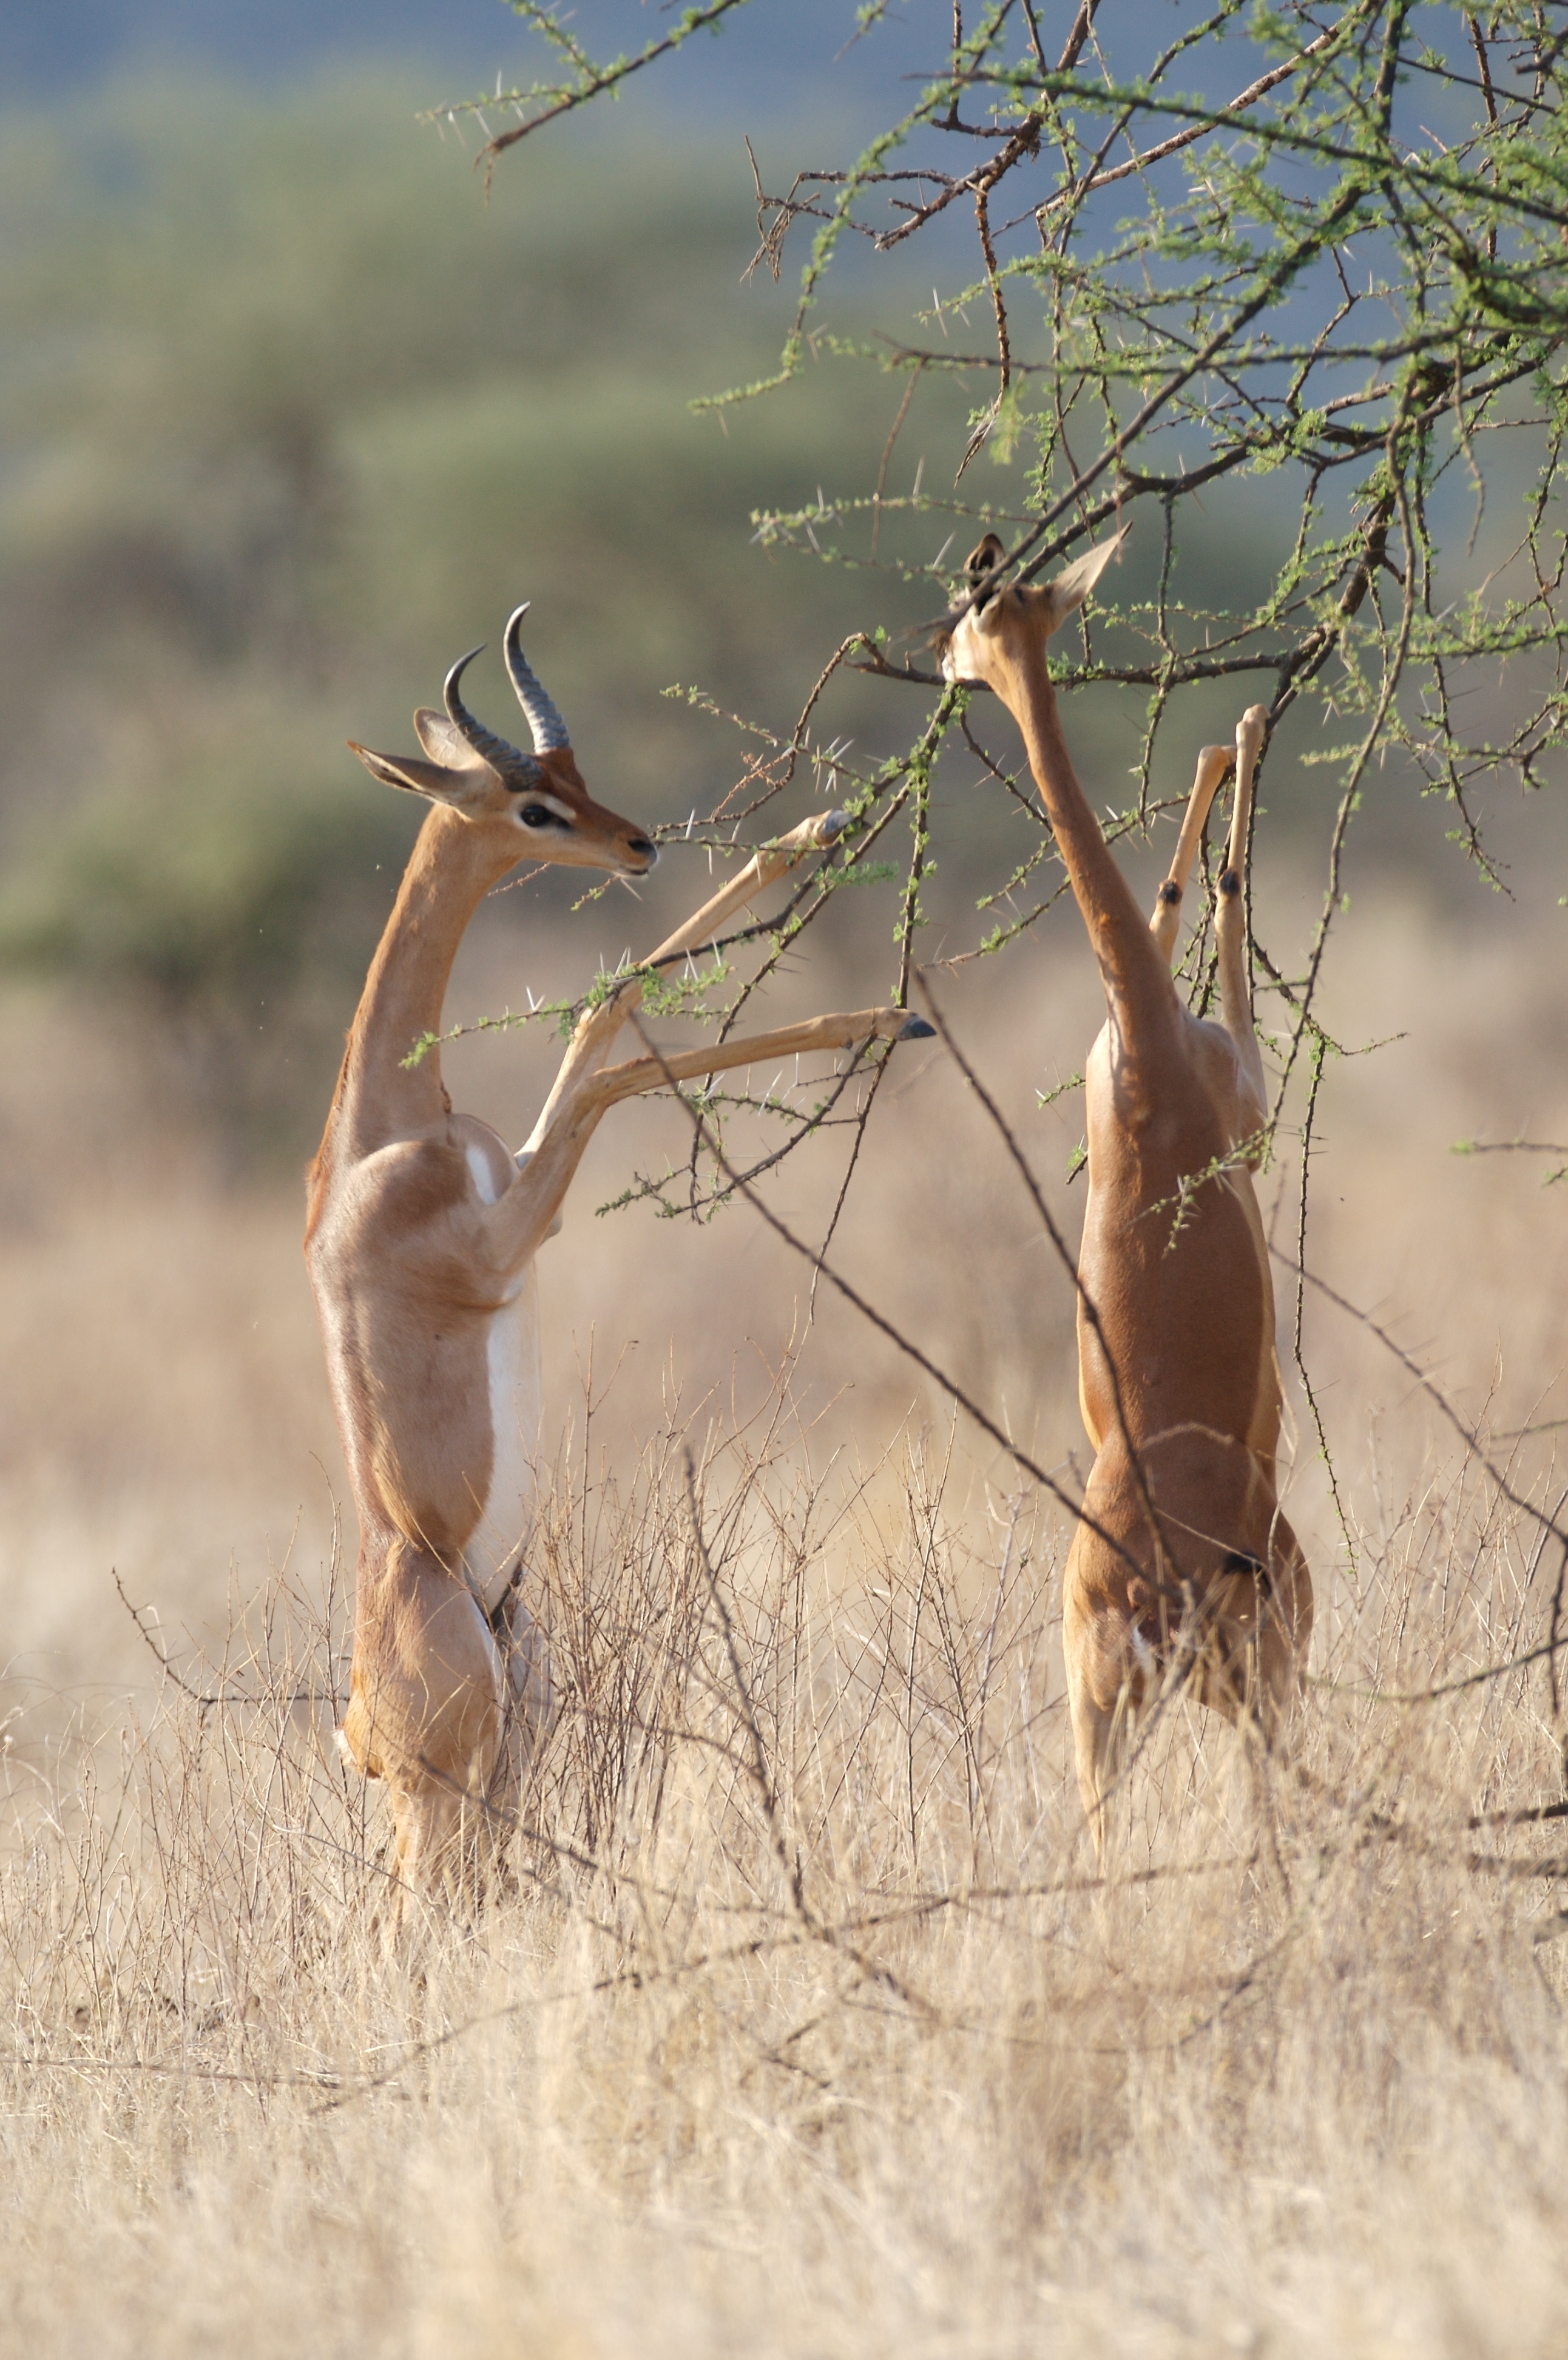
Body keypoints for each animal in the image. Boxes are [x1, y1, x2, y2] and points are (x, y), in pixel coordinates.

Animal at [302, 613, 928, 1935]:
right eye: (529, 803)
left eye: (576, 769)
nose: (638, 842)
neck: (382, 1130)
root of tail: (354, 1727)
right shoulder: (508, 1238)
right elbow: (612, 1054)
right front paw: (887, 1015)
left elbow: (606, 1006)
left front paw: (818, 831)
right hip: (447, 1792)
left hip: (516, 1739)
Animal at [943, 540, 1311, 1859]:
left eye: (979, 613)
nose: (945, 664)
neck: (1148, 1055)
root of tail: (1159, 1586)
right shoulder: (1245, 1087)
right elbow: (1221, 892)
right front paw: (1237, 731)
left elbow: (1160, 895)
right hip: (1270, 1678)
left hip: (1094, 1716)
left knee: (1101, 1851)